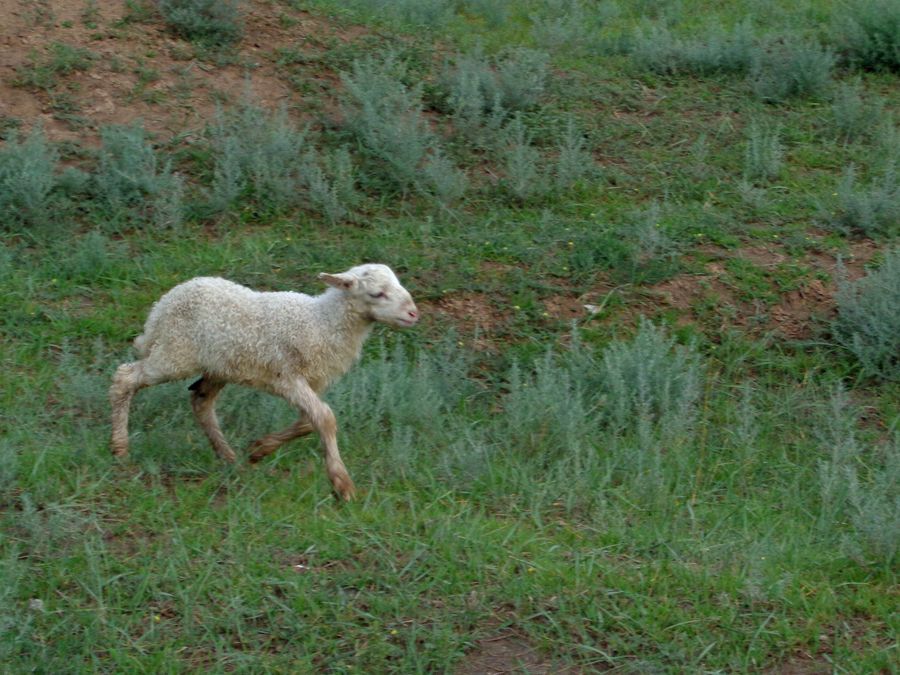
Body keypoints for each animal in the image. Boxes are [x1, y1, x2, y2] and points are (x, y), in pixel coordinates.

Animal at [110, 264, 420, 502]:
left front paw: (260, 449)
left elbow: (309, 421)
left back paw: (230, 458)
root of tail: (163, 304)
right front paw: (342, 484)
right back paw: (120, 448)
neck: (322, 322)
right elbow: (325, 417)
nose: (413, 313)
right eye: (377, 293)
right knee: (125, 378)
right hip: (175, 354)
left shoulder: (312, 381)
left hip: (219, 366)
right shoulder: (288, 377)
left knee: (201, 401)